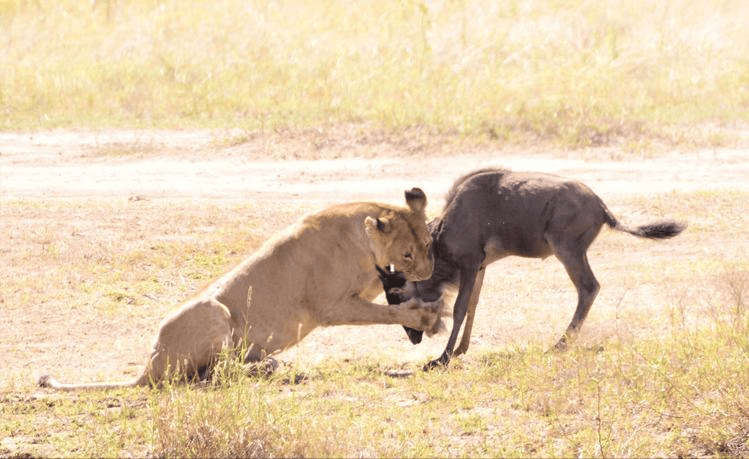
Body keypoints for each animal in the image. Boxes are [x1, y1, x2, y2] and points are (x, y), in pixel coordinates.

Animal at [38, 189, 442, 390]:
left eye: (429, 244)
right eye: (407, 254)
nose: (428, 269)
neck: (362, 235)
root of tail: (149, 365)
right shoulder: (331, 306)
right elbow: (384, 313)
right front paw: (425, 318)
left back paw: (267, 364)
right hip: (214, 312)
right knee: (210, 373)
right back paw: (265, 366)